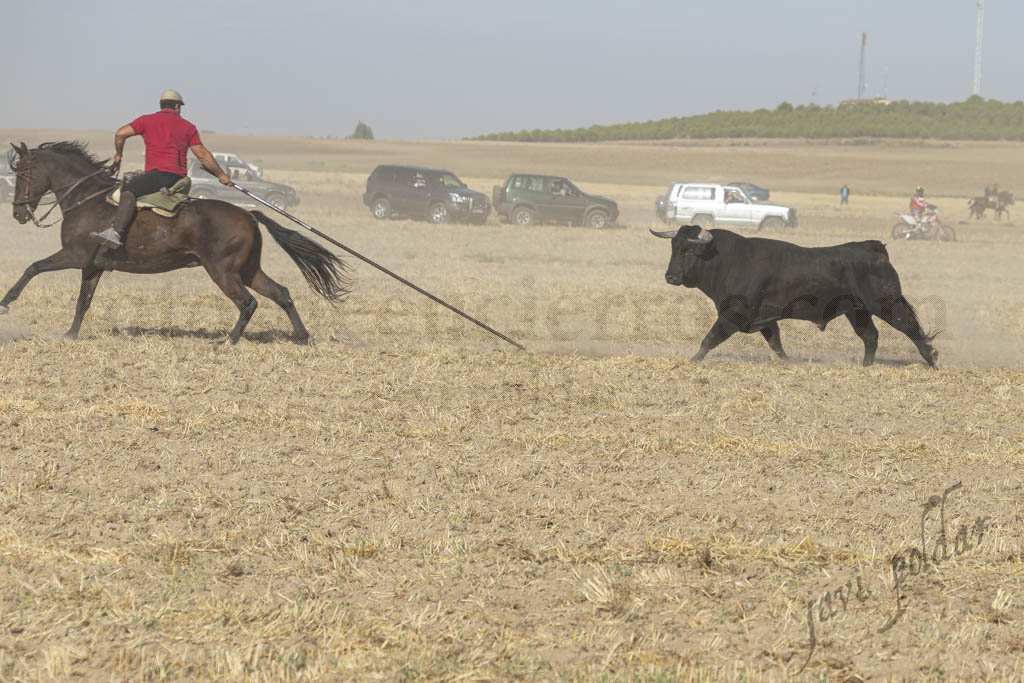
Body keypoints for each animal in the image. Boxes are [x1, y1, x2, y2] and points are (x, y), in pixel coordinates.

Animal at [3, 141, 349, 342]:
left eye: (23, 173)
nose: (18, 213)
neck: (87, 199)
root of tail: (249, 214)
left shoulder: (74, 255)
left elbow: (33, 267)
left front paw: (6, 302)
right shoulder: (91, 265)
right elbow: (82, 301)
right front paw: (70, 335)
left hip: (223, 271)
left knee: (248, 302)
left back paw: (228, 341)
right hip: (248, 269)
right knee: (281, 293)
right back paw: (302, 336)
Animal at [651, 226, 939, 367]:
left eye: (690, 251)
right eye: (674, 247)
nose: (670, 276)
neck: (729, 260)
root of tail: (874, 248)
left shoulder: (734, 314)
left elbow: (710, 338)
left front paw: (691, 361)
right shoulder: (764, 319)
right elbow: (776, 343)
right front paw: (789, 363)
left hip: (886, 305)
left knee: (910, 327)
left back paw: (932, 359)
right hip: (856, 311)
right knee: (870, 336)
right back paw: (866, 366)